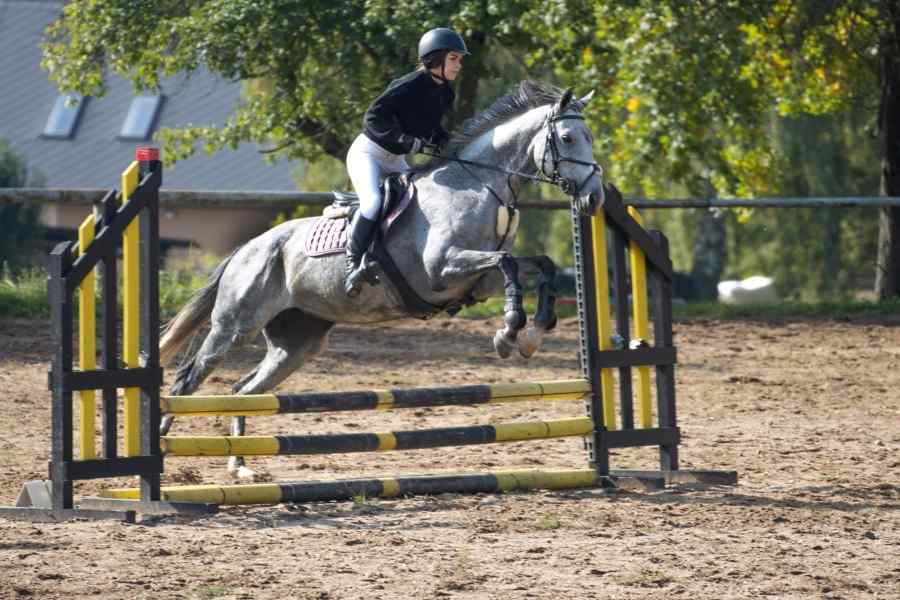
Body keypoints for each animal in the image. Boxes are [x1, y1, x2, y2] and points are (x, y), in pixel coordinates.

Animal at [158, 79, 604, 476]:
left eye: (589, 136)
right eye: (567, 138)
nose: (595, 197)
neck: (479, 186)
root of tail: (246, 248)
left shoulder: (480, 283)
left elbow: (539, 265)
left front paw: (533, 334)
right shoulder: (441, 270)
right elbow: (509, 263)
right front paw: (509, 331)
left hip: (297, 343)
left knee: (243, 391)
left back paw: (239, 465)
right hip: (235, 326)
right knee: (186, 382)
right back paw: (162, 453)